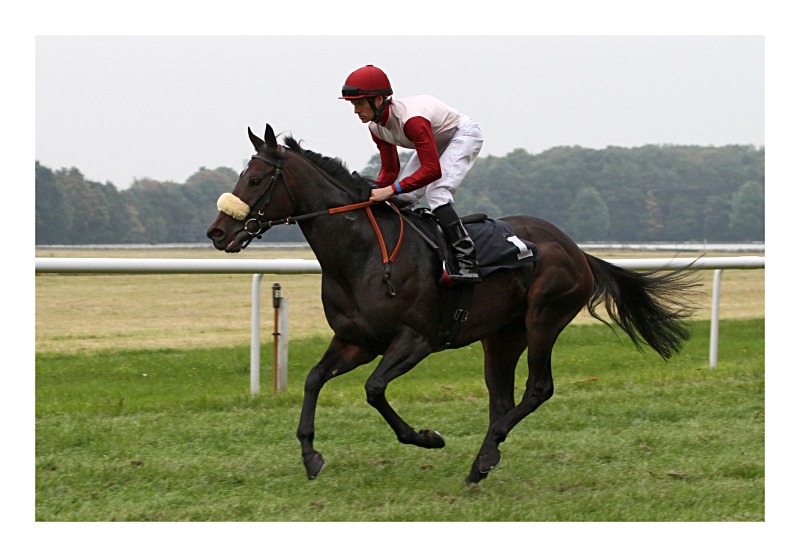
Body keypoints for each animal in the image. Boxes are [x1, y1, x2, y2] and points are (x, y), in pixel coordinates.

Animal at [208, 125, 700, 482]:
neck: (364, 254)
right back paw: (486, 457)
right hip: (502, 336)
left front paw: (428, 437)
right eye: (241, 175)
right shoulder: (355, 340)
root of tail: (576, 250)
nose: (217, 232)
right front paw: (311, 455)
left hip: (544, 318)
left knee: (538, 388)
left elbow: (374, 389)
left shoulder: (416, 339)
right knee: (501, 398)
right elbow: (312, 380)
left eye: (255, 178)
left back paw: (484, 457)